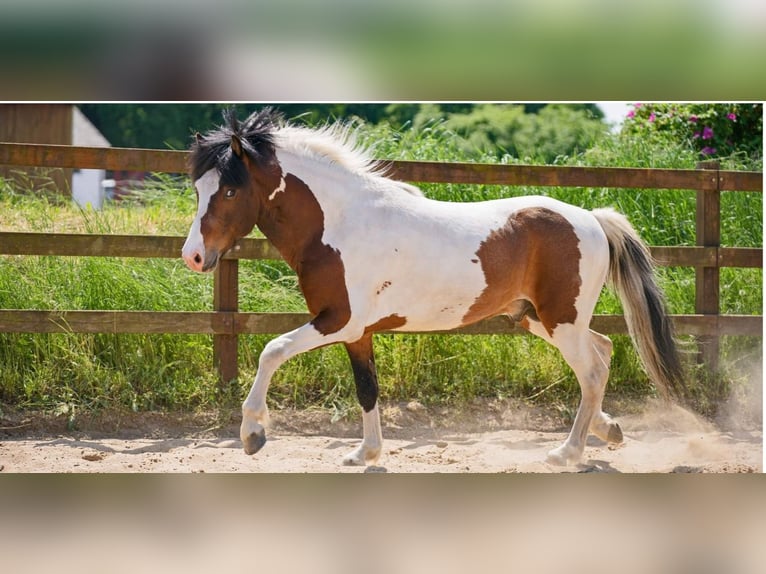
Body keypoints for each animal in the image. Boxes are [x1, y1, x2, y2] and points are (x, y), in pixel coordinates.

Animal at [183, 108, 688, 468]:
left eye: (229, 191)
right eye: (197, 190)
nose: (193, 257)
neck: (338, 225)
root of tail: (593, 219)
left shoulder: (336, 322)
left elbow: (271, 350)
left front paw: (252, 435)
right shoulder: (356, 333)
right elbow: (367, 389)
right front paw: (364, 454)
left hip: (560, 321)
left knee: (592, 372)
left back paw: (568, 453)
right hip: (538, 317)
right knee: (602, 351)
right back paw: (607, 431)